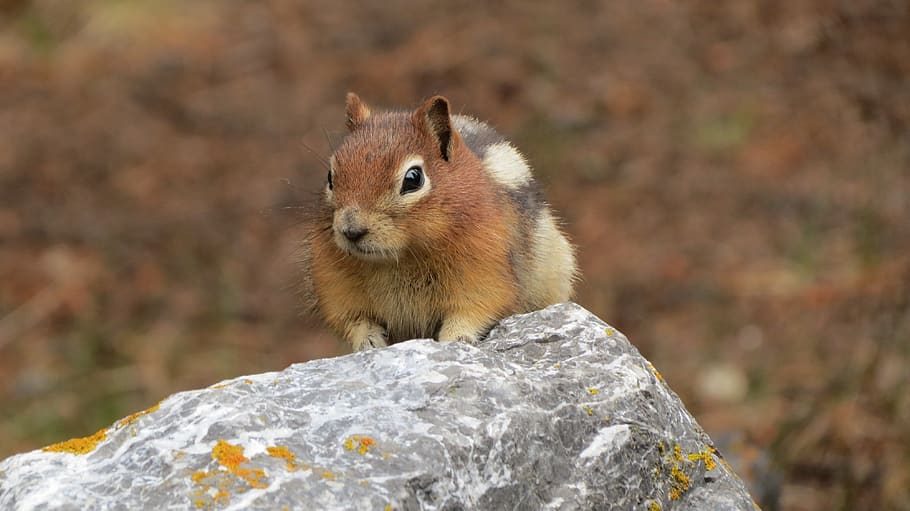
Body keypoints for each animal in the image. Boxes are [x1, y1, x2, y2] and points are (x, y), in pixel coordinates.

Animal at [300, 93, 577, 351]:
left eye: (413, 179)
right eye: (330, 176)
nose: (351, 231)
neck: (401, 258)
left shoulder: (484, 276)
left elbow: (472, 313)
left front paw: (456, 338)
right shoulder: (337, 287)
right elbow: (355, 322)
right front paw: (368, 342)